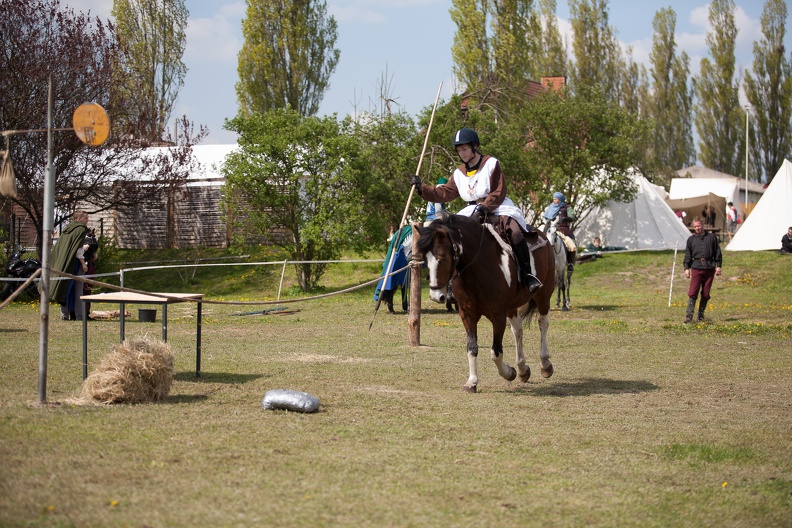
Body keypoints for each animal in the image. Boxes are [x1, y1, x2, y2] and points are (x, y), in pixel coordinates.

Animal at [414, 213, 556, 392]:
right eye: (424, 260)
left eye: (442, 259)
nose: (435, 295)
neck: (478, 268)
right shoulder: (467, 314)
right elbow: (472, 348)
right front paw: (472, 381)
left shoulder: (498, 315)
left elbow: (496, 352)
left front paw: (509, 372)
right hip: (512, 306)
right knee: (517, 329)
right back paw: (522, 368)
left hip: (543, 295)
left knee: (543, 323)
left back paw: (545, 365)